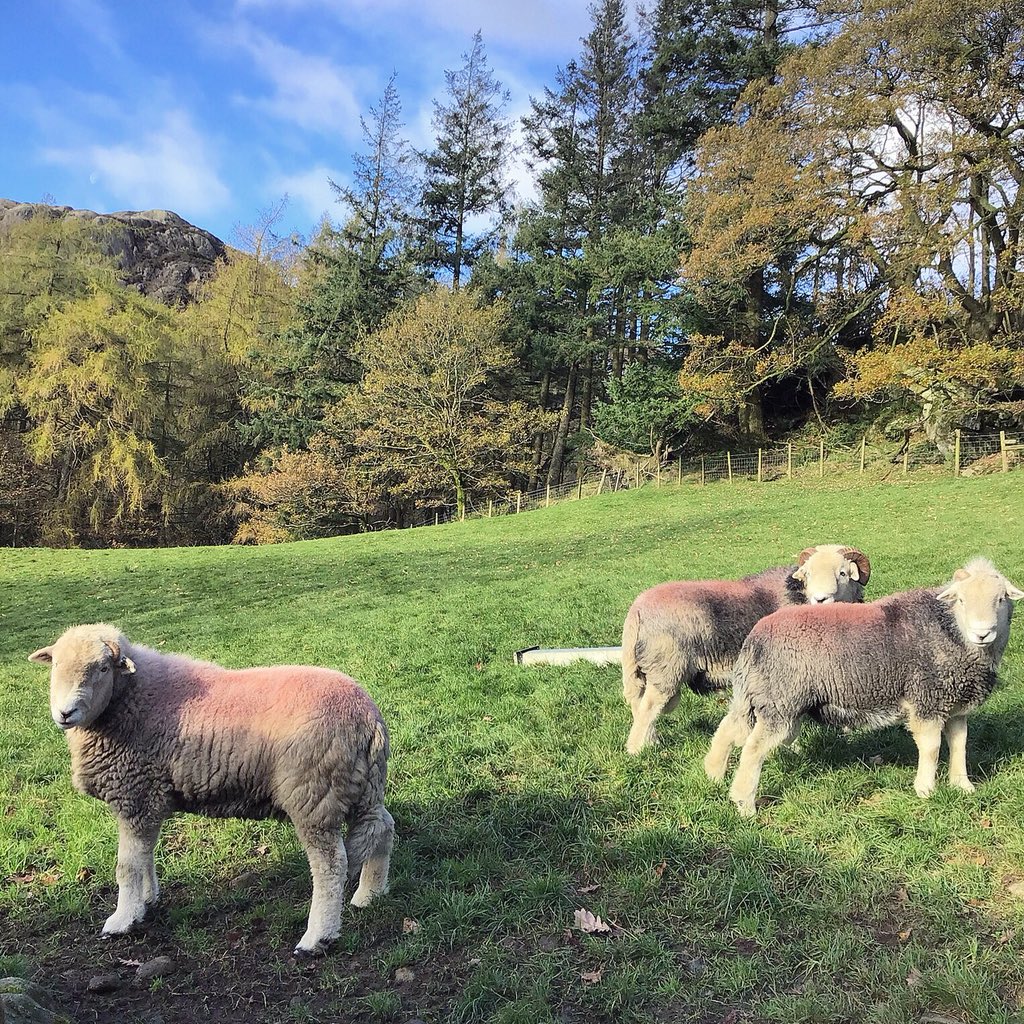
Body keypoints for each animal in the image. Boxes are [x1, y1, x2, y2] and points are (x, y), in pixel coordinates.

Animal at [28, 624, 395, 955]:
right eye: (56, 665)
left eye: (103, 668)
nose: (65, 713)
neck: (132, 699)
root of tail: (368, 716)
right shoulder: (149, 797)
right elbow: (145, 855)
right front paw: (147, 900)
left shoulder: (135, 794)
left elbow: (127, 866)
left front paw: (123, 919)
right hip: (362, 789)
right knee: (383, 828)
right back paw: (370, 894)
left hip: (314, 794)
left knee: (331, 865)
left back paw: (317, 937)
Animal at [623, 544, 871, 754]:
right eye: (808, 574)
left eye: (843, 573)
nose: (821, 599)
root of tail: (636, 609)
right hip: (667, 669)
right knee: (648, 709)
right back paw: (637, 750)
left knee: (639, 704)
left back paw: (651, 741)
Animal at [705, 557, 1023, 816]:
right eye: (961, 601)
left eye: (1000, 599)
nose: (983, 633)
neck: (949, 630)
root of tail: (755, 637)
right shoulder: (926, 700)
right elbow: (931, 748)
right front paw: (926, 790)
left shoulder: (955, 703)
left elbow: (960, 743)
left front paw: (962, 786)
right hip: (780, 701)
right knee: (752, 749)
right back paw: (744, 804)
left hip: (762, 697)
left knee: (729, 729)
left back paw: (713, 777)